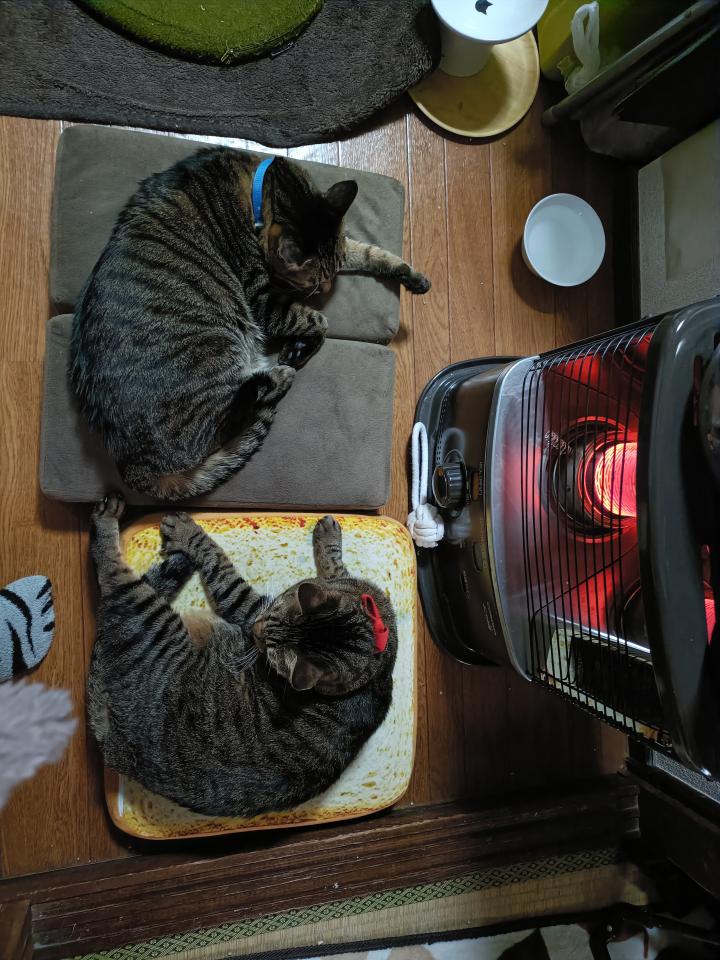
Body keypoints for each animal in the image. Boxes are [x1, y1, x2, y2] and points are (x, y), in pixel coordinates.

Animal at [70, 147, 430, 500]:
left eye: (328, 278)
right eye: (312, 285)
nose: (326, 290)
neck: (261, 188)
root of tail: (131, 464)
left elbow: (372, 253)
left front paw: (413, 277)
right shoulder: (262, 301)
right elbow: (319, 320)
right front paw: (301, 344)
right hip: (215, 353)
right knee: (228, 419)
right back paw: (275, 377)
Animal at [86, 494, 397, 817]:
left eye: (270, 655)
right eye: (276, 608)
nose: (256, 629)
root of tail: (113, 746)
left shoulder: (243, 603)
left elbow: (215, 559)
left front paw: (186, 533)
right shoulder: (349, 590)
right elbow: (335, 568)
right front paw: (328, 537)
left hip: (149, 618)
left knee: (112, 576)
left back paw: (114, 521)